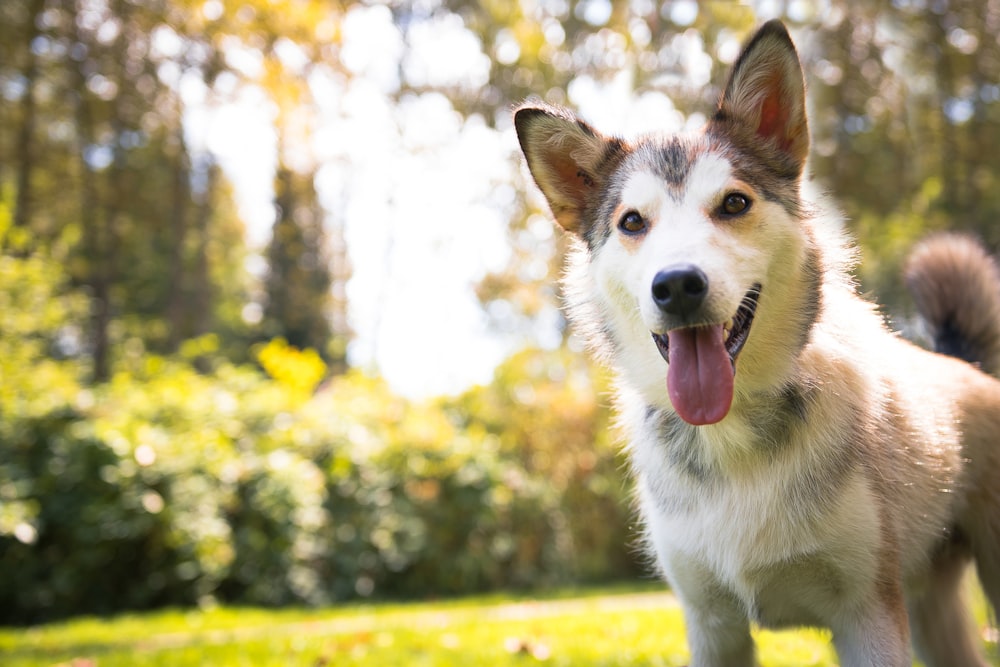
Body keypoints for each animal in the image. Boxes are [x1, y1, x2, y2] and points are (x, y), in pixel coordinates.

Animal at [516, 19, 1000, 667]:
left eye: (734, 203)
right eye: (632, 222)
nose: (677, 285)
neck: (732, 433)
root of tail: (962, 364)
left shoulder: (869, 614)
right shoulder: (710, 620)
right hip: (930, 608)